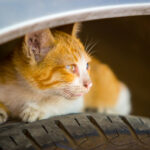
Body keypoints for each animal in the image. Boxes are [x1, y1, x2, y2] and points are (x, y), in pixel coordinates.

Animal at [0, 22, 131, 123]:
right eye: (71, 67)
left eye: (87, 65)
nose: (89, 84)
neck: (29, 90)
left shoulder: (78, 100)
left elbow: (61, 103)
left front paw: (37, 109)